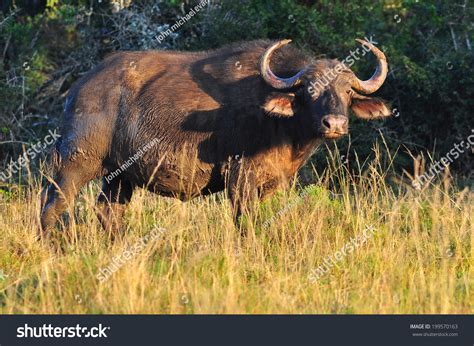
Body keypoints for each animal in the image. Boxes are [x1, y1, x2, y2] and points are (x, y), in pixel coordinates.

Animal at [39, 38, 388, 238]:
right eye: (310, 89)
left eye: (347, 91)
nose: (335, 123)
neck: (282, 127)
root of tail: (79, 89)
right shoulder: (239, 176)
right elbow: (244, 222)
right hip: (74, 165)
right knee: (53, 206)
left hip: (120, 176)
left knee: (107, 212)